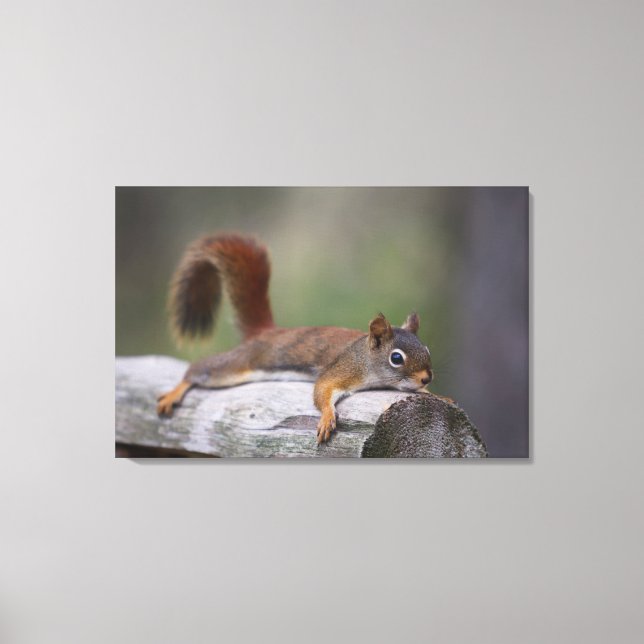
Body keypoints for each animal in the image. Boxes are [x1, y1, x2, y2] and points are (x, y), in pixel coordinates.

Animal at [156, 234, 435, 443]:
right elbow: (322, 390)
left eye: (427, 350)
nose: (426, 377)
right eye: (396, 358)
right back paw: (174, 392)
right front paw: (327, 417)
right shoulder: (344, 370)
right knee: (201, 369)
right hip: (239, 365)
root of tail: (267, 332)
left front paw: (433, 393)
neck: (366, 359)